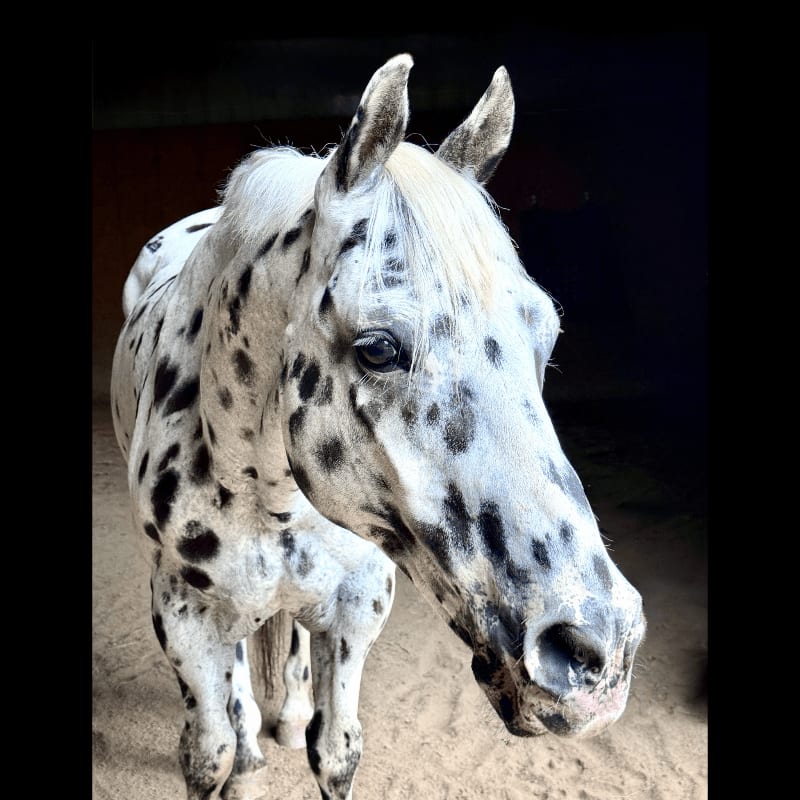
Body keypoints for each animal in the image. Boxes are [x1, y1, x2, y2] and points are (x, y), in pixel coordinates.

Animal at [110, 53, 646, 800]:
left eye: (546, 333)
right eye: (378, 349)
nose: (598, 652)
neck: (270, 496)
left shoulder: (357, 610)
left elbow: (335, 748)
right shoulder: (185, 619)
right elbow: (208, 752)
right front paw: (238, 757)